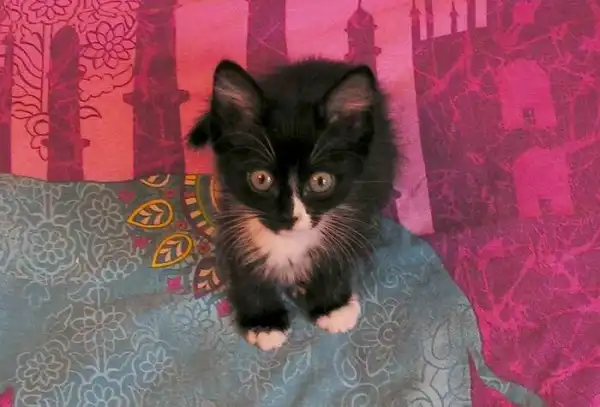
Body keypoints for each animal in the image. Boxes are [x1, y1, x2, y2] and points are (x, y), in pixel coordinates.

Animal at [188, 58, 398, 351]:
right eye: (260, 179)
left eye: (321, 181)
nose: (290, 217)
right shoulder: (231, 212)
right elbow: (241, 264)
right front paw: (264, 321)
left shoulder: (356, 206)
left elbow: (339, 252)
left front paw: (332, 305)